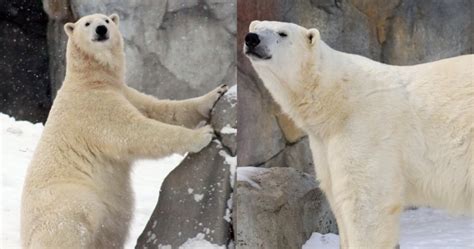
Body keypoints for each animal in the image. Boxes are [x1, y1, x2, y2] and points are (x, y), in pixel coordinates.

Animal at [21, 13, 229, 249]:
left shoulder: (126, 93)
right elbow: (134, 132)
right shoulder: (95, 109)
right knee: (74, 224)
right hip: (68, 200)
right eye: (87, 23)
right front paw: (203, 134)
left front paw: (216, 92)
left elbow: (161, 109)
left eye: (106, 20)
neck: (90, 81)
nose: (101, 30)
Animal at [246, 20, 472, 249]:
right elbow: (335, 192)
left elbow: (365, 202)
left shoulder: (366, 126)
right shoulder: (324, 142)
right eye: (256, 27)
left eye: (282, 33)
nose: (251, 39)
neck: (337, 97)